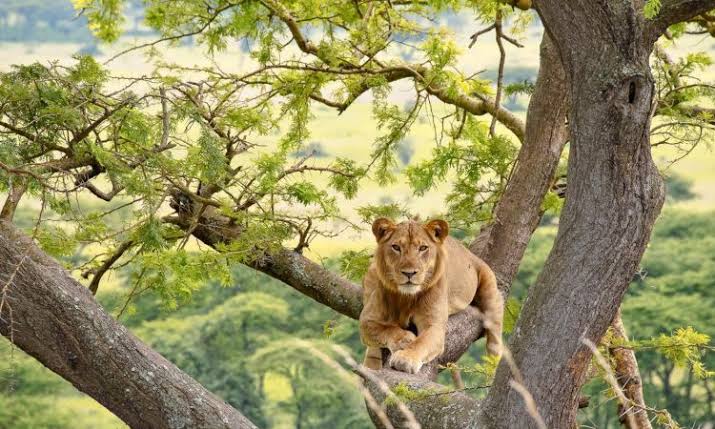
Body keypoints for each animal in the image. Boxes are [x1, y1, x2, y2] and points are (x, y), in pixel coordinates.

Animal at [359, 218, 503, 374]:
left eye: (423, 248)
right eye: (396, 247)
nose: (409, 273)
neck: (406, 297)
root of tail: (470, 254)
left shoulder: (434, 326)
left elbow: (421, 343)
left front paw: (406, 358)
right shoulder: (367, 320)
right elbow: (386, 329)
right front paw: (405, 339)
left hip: (489, 285)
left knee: (495, 334)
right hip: (371, 273)